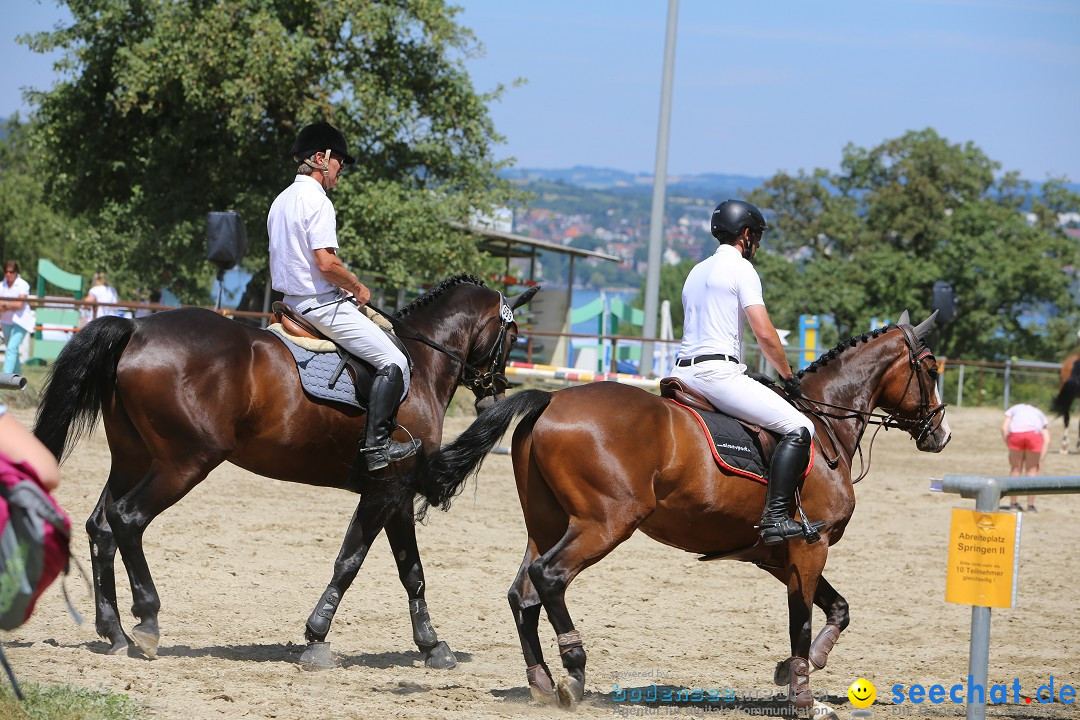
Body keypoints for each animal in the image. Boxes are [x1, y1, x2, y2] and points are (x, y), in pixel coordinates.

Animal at [31, 273, 537, 669]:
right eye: (511, 337)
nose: (495, 391)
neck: (420, 362)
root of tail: (136, 328)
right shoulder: (385, 489)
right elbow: (350, 562)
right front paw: (316, 636)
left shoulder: (396, 493)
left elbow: (411, 571)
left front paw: (432, 645)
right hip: (185, 463)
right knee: (128, 519)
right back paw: (148, 620)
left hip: (132, 458)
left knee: (101, 525)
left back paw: (114, 631)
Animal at [393, 310, 950, 708]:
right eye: (929, 368)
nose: (940, 434)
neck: (825, 425)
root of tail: (550, 402)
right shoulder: (808, 547)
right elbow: (804, 620)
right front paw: (804, 695)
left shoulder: (775, 554)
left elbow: (837, 609)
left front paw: (801, 666)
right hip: (606, 523)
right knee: (548, 577)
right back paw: (574, 669)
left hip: (547, 523)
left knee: (522, 592)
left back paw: (542, 682)